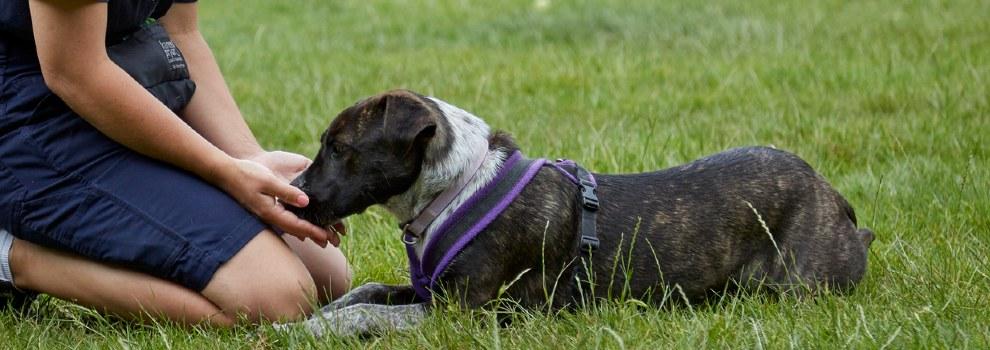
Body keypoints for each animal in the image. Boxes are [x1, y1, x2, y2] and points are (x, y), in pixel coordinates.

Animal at [284, 89, 876, 336]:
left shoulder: (463, 312)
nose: (295, 191)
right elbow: (366, 294)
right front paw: (314, 317)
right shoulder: (432, 291)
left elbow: (369, 313)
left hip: (796, 287)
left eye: (338, 147)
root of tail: (835, 198)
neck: (459, 187)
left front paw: (313, 330)